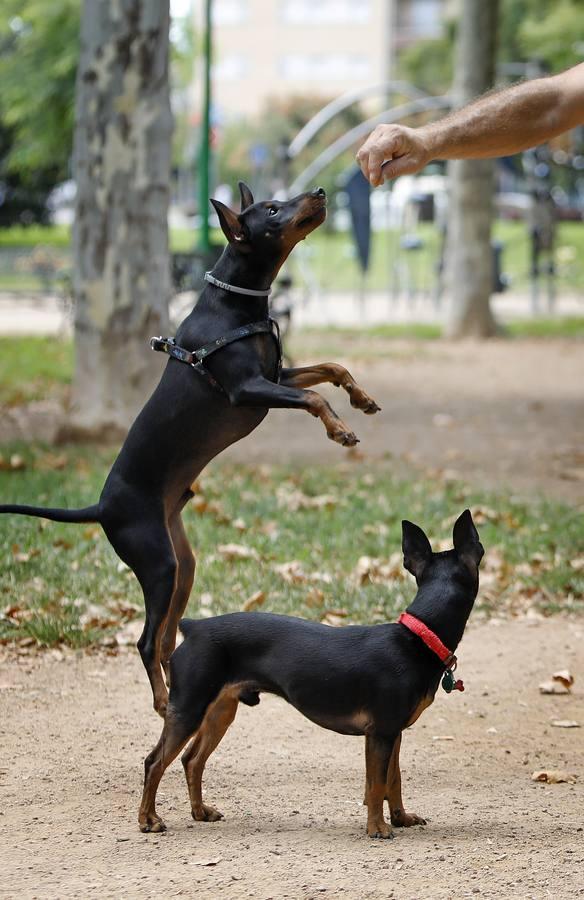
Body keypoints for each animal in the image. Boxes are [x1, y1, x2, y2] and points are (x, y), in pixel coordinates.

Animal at [0, 183, 380, 716]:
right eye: (272, 210)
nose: (321, 192)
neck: (235, 306)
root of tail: (100, 507)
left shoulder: (275, 376)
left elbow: (330, 368)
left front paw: (360, 398)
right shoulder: (247, 389)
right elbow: (314, 397)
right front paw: (338, 430)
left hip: (183, 565)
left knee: (163, 639)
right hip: (157, 563)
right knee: (144, 640)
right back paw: (163, 701)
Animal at [137, 510, 484, 840]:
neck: (418, 637)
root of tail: (193, 627)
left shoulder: (393, 733)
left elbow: (393, 780)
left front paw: (400, 818)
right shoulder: (381, 733)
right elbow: (376, 785)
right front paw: (377, 828)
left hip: (220, 712)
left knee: (192, 760)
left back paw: (199, 812)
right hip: (189, 710)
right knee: (154, 762)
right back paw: (149, 820)